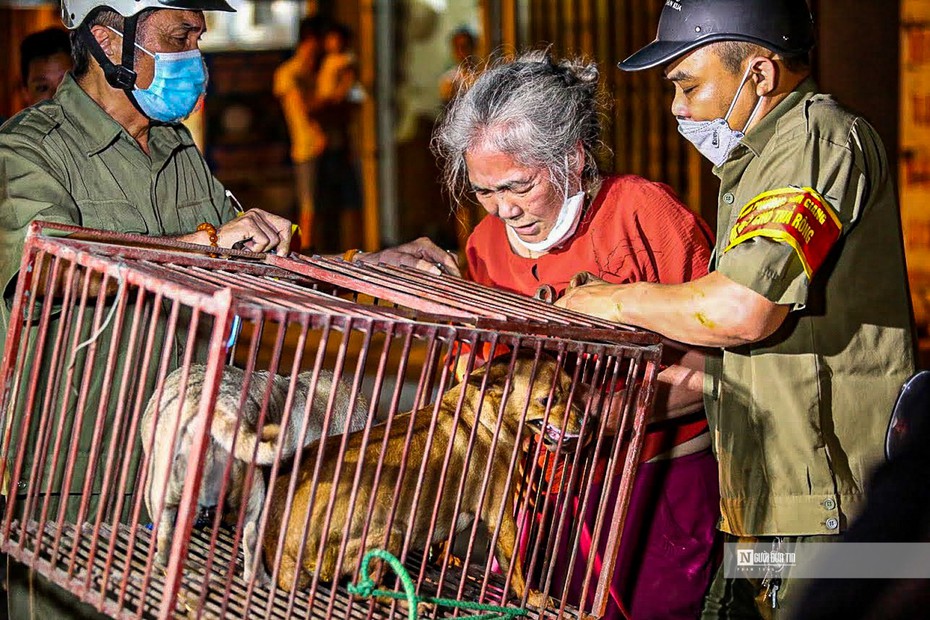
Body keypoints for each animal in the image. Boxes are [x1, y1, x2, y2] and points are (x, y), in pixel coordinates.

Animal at [260, 356, 580, 608]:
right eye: (547, 400)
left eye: (573, 390)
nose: (585, 421)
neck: (482, 413)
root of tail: (283, 554)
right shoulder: (501, 520)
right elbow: (516, 566)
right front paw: (534, 596)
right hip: (391, 534)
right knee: (362, 591)